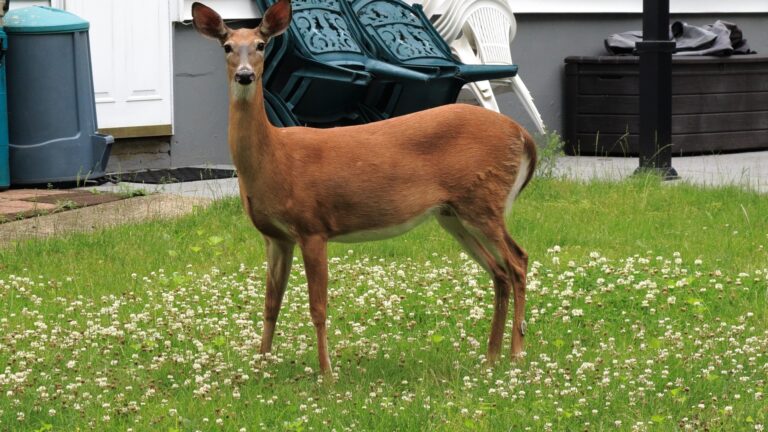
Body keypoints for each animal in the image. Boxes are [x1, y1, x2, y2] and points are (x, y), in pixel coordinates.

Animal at [191, 0, 537, 375]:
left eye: (261, 45)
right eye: (227, 46)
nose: (245, 75)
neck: (274, 160)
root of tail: (522, 134)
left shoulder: (312, 226)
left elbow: (317, 308)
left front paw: (327, 373)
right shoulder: (276, 236)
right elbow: (270, 304)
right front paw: (261, 364)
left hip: (483, 200)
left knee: (518, 261)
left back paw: (517, 351)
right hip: (453, 214)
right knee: (499, 272)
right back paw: (491, 355)